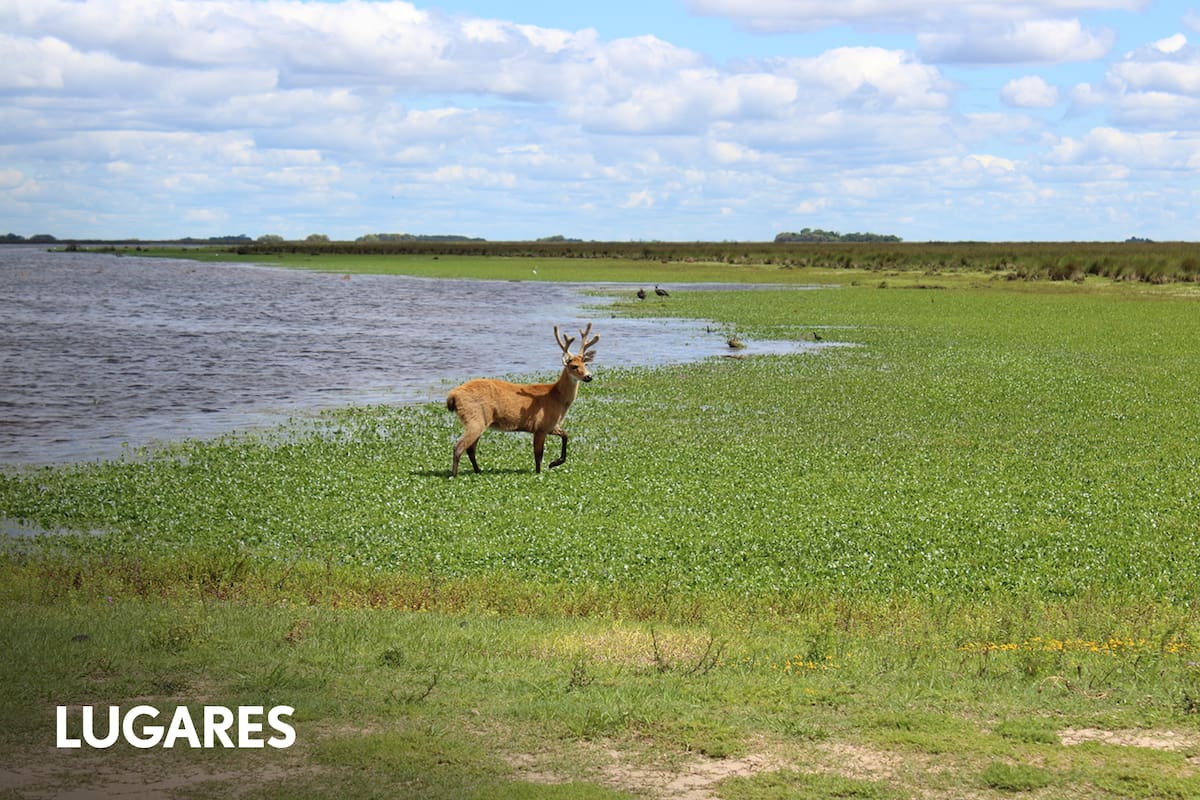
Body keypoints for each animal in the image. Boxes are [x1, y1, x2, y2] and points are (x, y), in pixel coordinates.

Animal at [446, 323, 599, 477]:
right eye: (574, 366)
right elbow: (538, 456)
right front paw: (541, 471)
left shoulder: (550, 426)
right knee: (459, 447)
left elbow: (565, 435)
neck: (557, 398)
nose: (589, 376)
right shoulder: (540, 426)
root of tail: (453, 396)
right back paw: (454, 475)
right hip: (474, 417)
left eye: (586, 364)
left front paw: (554, 463)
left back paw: (478, 471)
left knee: (470, 449)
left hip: (480, 420)